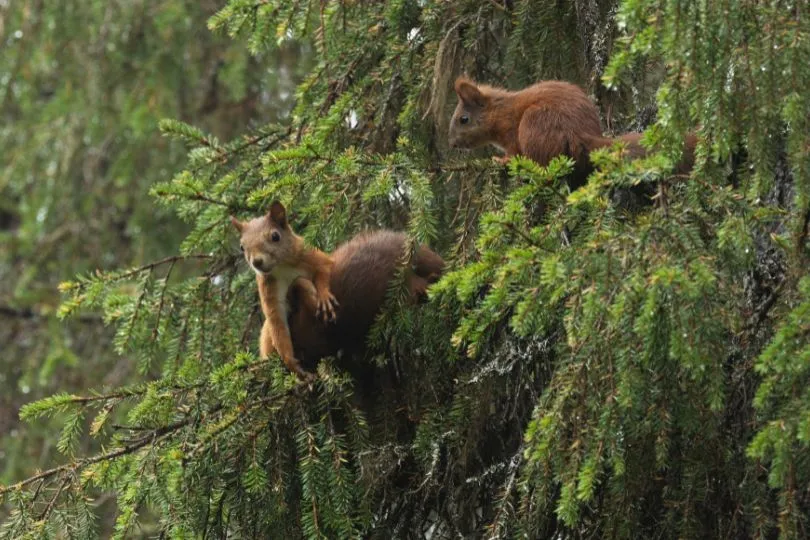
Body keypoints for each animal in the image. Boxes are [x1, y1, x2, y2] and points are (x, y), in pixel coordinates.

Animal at [231, 201, 338, 380]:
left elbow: (325, 267)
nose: (257, 262)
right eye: (241, 247)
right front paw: (292, 364)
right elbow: (277, 320)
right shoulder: (269, 288)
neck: (282, 266)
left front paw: (324, 297)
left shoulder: (309, 254)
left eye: (275, 236)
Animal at [448, 76, 696, 189]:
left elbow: (512, 152)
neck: (499, 112)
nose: (452, 144)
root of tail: (578, 134)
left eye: (463, 119)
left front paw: (501, 160)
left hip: (533, 123)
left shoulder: (510, 133)